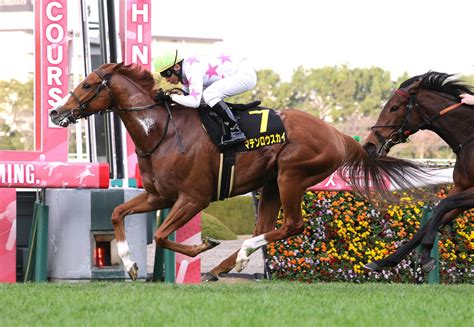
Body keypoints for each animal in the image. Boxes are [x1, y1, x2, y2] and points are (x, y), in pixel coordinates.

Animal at [51, 63, 426, 282]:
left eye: (87, 85)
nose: (56, 112)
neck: (162, 131)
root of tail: (338, 134)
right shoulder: (159, 194)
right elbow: (117, 212)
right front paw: (129, 264)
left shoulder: (193, 198)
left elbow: (159, 236)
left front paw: (205, 244)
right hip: (272, 183)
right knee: (265, 227)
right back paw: (227, 264)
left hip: (291, 175)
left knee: (292, 225)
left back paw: (238, 256)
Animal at [364, 72, 472, 274]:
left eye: (394, 108)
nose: (369, 145)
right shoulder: (462, 187)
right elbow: (433, 218)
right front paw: (384, 261)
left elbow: (442, 205)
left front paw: (426, 254)